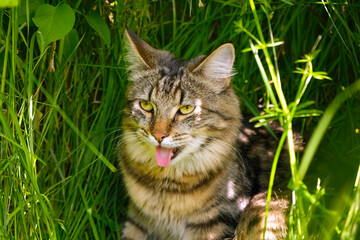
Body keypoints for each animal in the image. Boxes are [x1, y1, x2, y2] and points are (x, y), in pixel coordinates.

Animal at [118, 29, 292, 239]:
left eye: (186, 109)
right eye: (146, 105)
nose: (158, 135)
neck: (166, 187)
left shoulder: (215, 225)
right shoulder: (138, 220)